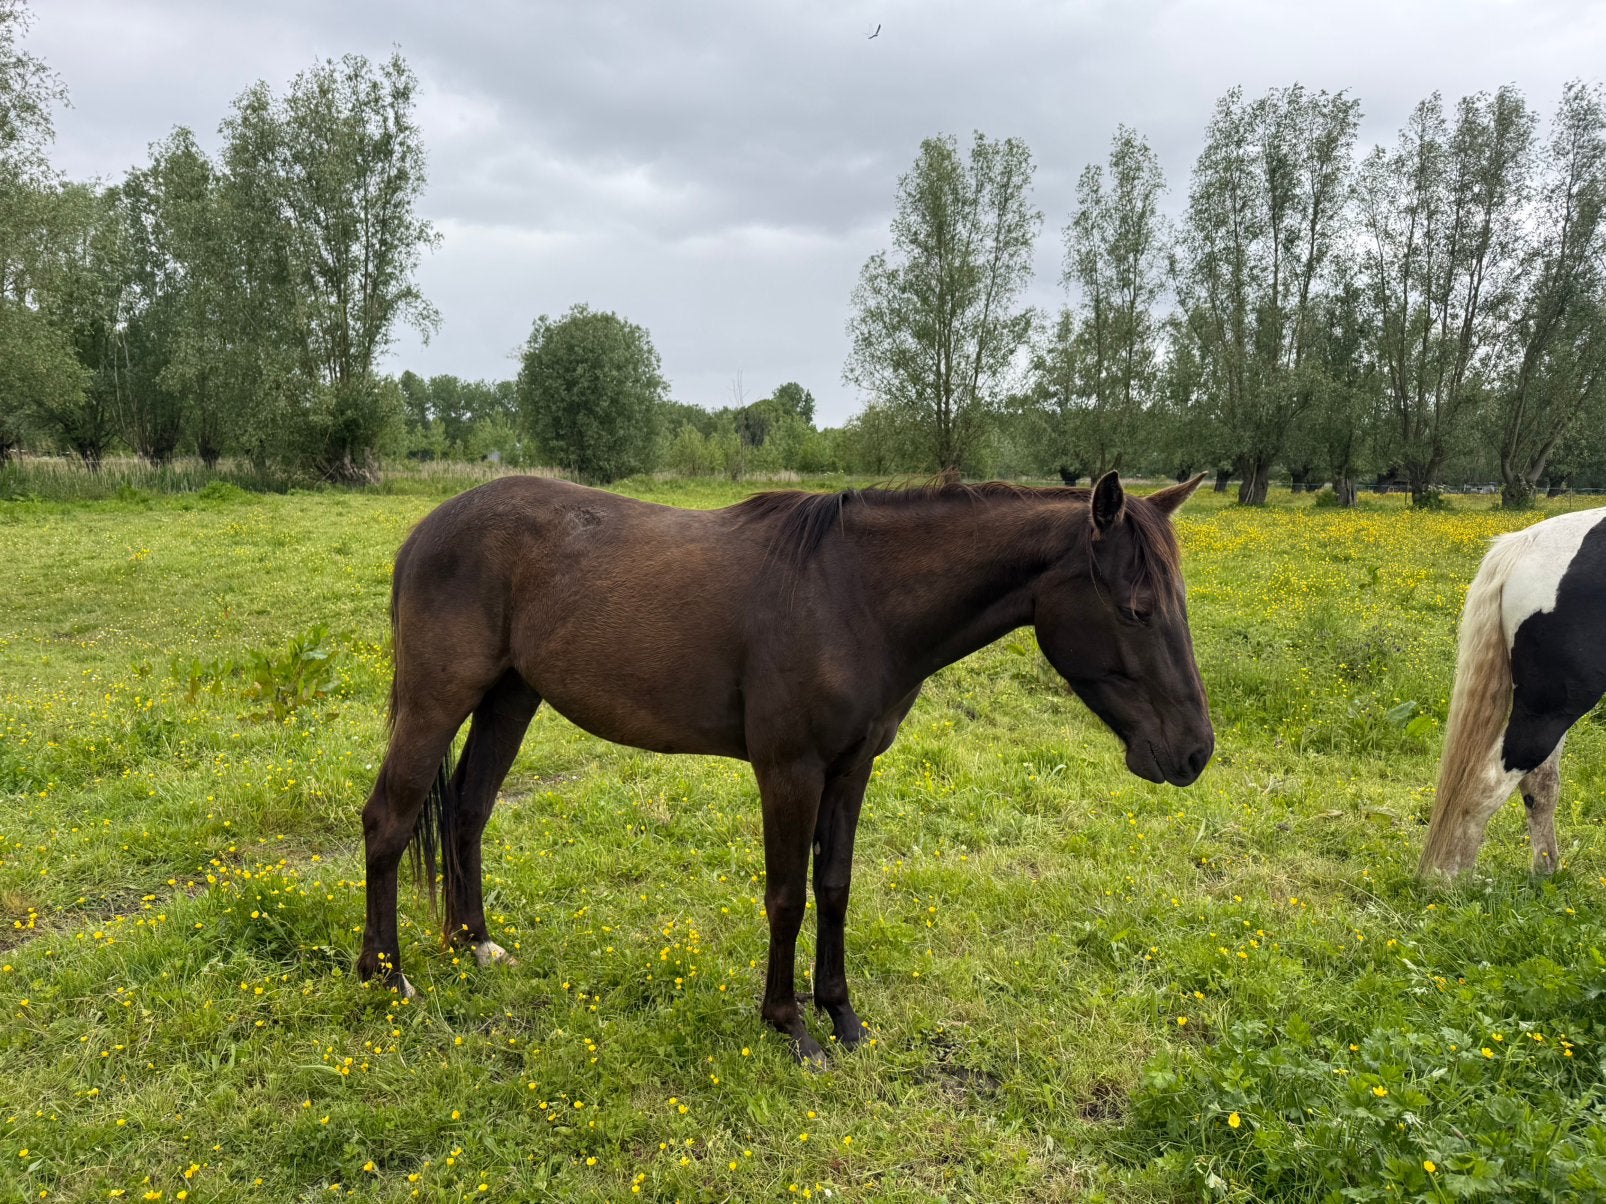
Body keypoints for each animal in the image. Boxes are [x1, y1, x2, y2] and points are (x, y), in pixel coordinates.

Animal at [358, 470, 1214, 1060]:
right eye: (1138, 609)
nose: (1194, 752)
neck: (853, 597)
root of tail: (425, 530)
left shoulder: (852, 769)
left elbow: (833, 888)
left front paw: (842, 1016)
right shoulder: (789, 771)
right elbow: (787, 898)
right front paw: (790, 1026)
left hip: (511, 697)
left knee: (468, 810)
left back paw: (475, 943)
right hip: (438, 700)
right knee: (388, 822)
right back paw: (386, 976)